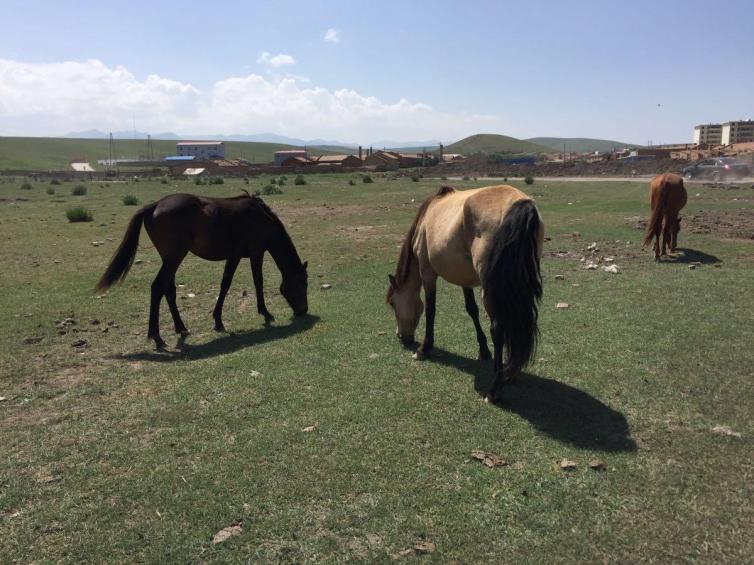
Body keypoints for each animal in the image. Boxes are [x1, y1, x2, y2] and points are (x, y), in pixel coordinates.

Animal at [95, 191, 306, 348]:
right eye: (303, 284)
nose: (303, 311)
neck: (262, 218)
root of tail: (155, 205)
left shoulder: (234, 256)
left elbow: (225, 284)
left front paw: (218, 321)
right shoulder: (256, 253)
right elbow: (258, 282)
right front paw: (266, 313)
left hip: (170, 260)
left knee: (168, 290)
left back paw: (181, 328)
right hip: (173, 259)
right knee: (157, 288)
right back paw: (157, 337)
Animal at [384, 185, 544, 400]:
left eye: (393, 303)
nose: (401, 336)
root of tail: (521, 204)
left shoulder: (427, 273)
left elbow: (431, 310)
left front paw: (424, 348)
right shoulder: (464, 279)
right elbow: (472, 310)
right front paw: (483, 350)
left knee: (498, 329)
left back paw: (494, 389)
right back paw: (510, 374)